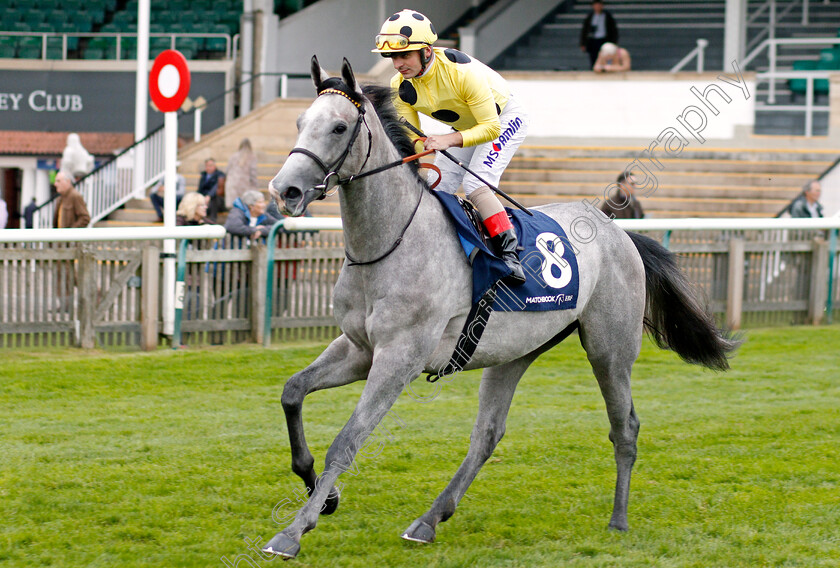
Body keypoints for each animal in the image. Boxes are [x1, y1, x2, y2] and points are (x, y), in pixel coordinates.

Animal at [262, 58, 736, 560]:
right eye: (300, 123)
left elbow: (347, 442)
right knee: (487, 434)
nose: (284, 190)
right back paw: (429, 520)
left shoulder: (398, 358)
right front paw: (323, 492)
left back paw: (619, 520)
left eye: (338, 127)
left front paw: (293, 531)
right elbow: (292, 392)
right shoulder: (358, 349)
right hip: (514, 352)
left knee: (624, 427)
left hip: (609, 349)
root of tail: (618, 231)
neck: (391, 241)